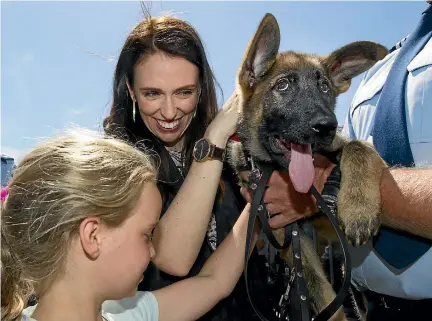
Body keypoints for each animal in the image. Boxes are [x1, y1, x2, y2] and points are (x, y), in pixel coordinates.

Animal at [230, 13, 388, 320]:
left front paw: (359, 207)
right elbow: (322, 293)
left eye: (324, 87)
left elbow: (358, 147)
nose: (326, 126)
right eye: (283, 86)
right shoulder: (291, 235)